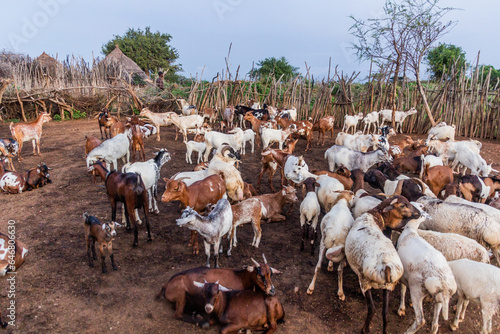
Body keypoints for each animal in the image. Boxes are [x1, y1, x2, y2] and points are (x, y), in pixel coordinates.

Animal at [344, 197, 422, 332]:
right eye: (403, 205)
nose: (418, 212)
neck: (374, 217)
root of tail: (386, 267)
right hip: (388, 286)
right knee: (385, 313)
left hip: (365, 282)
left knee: (372, 309)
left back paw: (364, 330)